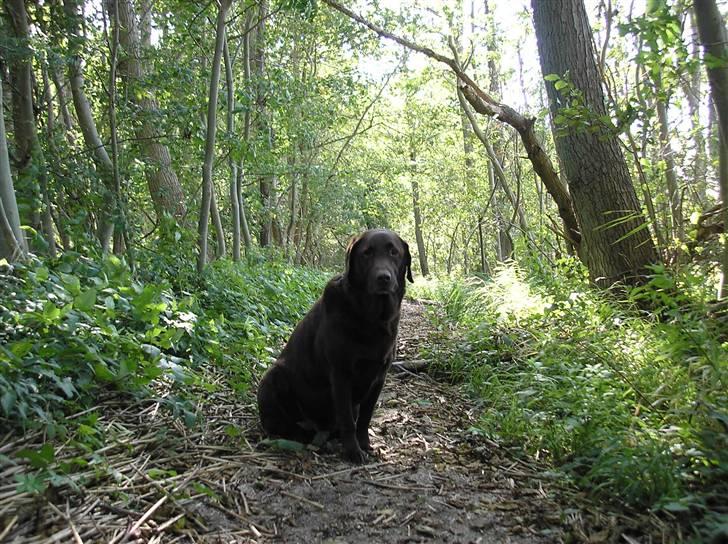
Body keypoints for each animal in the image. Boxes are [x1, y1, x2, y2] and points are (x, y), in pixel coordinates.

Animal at [258, 227, 412, 462]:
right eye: (366, 253)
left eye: (393, 252)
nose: (383, 278)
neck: (370, 317)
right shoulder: (340, 374)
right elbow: (347, 419)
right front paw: (353, 451)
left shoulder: (379, 378)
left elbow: (365, 418)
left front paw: (365, 444)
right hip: (273, 377)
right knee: (279, 425)